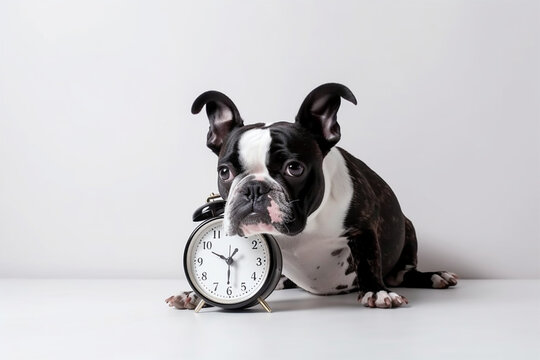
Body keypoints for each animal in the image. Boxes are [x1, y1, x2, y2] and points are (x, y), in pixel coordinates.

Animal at [167, 82, 458, 310]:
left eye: (294, 168)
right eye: (225, 172)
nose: (254, 188)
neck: (305, 225)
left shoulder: (363, 228)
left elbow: (368, 259)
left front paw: (376, 290)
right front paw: (194, 294)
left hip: (408, 229)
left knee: (403, 273)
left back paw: (434, 276)